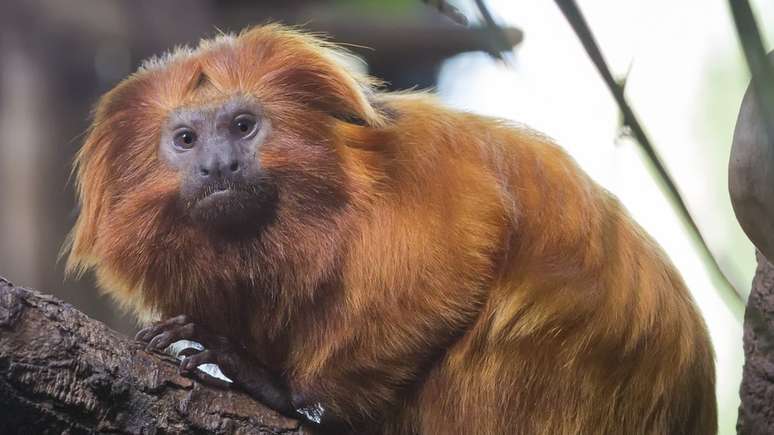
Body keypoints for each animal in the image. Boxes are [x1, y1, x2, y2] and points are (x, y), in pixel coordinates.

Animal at [65, 24, 716, 435]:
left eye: (243, 126)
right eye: (186, 139)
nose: (219, 165)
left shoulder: (420, 170)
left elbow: (457, 257)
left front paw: (272, 387)